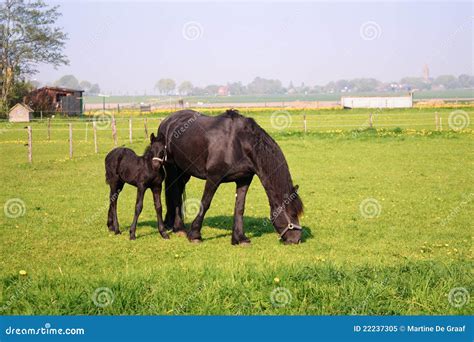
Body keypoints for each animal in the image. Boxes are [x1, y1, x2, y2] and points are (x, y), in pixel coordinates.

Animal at [157, 108, 302, 244]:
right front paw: (195, 235)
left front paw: (240, 238)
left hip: (185, 172)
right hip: (172, 169)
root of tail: (167, 120)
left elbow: (239, 208)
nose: (296, 239)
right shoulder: (213, 177)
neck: (237, 143)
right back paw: (179, 228)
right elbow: (205, 203)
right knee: (174, 194)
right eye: (293, 213)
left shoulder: (244, 180)